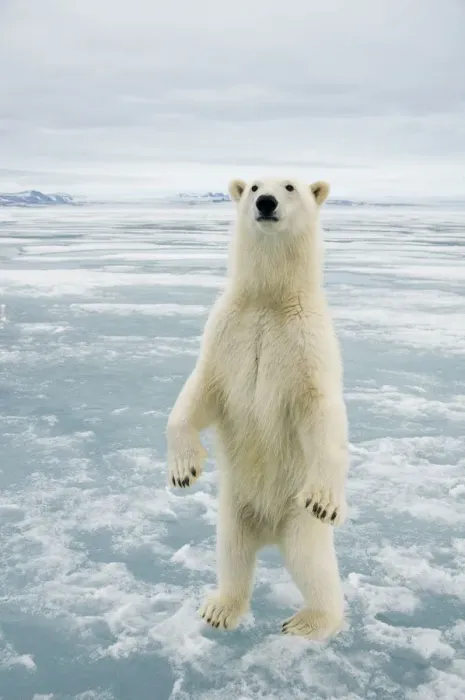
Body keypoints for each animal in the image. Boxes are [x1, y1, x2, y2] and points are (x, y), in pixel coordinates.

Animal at [166, 176, 349, 640]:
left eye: (290, 186)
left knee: (312, 564)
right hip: (234, 508)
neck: (269, 300)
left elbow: (321, 412)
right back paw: (219, 608)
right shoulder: (227, 330)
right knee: (232, 553)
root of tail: (270, 532)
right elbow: (200, 392)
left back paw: (310, 621)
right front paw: (183, 470)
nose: (265, 203)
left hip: (295, 515)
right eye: (251, 186)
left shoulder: (307, 342)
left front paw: (326, 500)